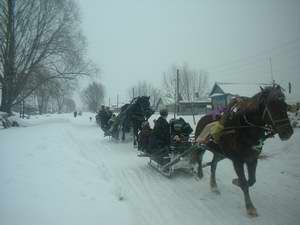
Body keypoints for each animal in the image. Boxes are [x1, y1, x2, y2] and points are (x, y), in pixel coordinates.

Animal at [193, 84, 294, 216]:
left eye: (285, 105)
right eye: (271, 105)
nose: (287, 132)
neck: (244, 130)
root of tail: (203, 117)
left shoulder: (252, 159)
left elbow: (251, 181)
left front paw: (236, 181)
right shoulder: (238, 161)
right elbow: (245, 183)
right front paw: (250, 207)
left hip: (219, 152)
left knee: (213, 165)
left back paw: (214, 186)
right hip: (201, 144)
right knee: (199, 157)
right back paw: (200, 173)